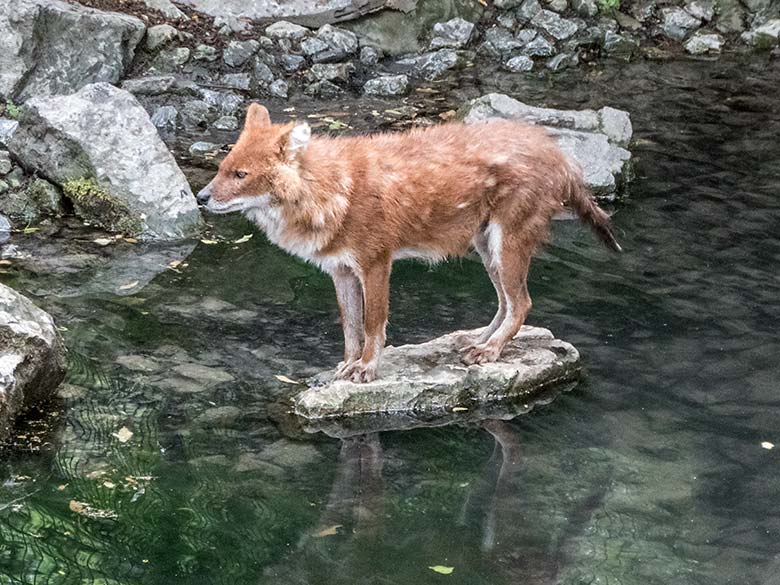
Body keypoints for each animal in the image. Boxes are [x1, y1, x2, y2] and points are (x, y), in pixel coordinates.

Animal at [197, 104, 620, 384]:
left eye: (241, 174)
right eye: (221, 168)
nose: (200, 197)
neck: (333, 190)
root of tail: (560, 152)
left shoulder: (375, 262)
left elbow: (373, 323)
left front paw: (367, 368)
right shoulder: (340, 269)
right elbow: (349, 326)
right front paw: (345, 366)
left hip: (508, 240)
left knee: (523, 303)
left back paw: (490, 350)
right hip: (486, 246)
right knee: (505, 301)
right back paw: (475, 341)